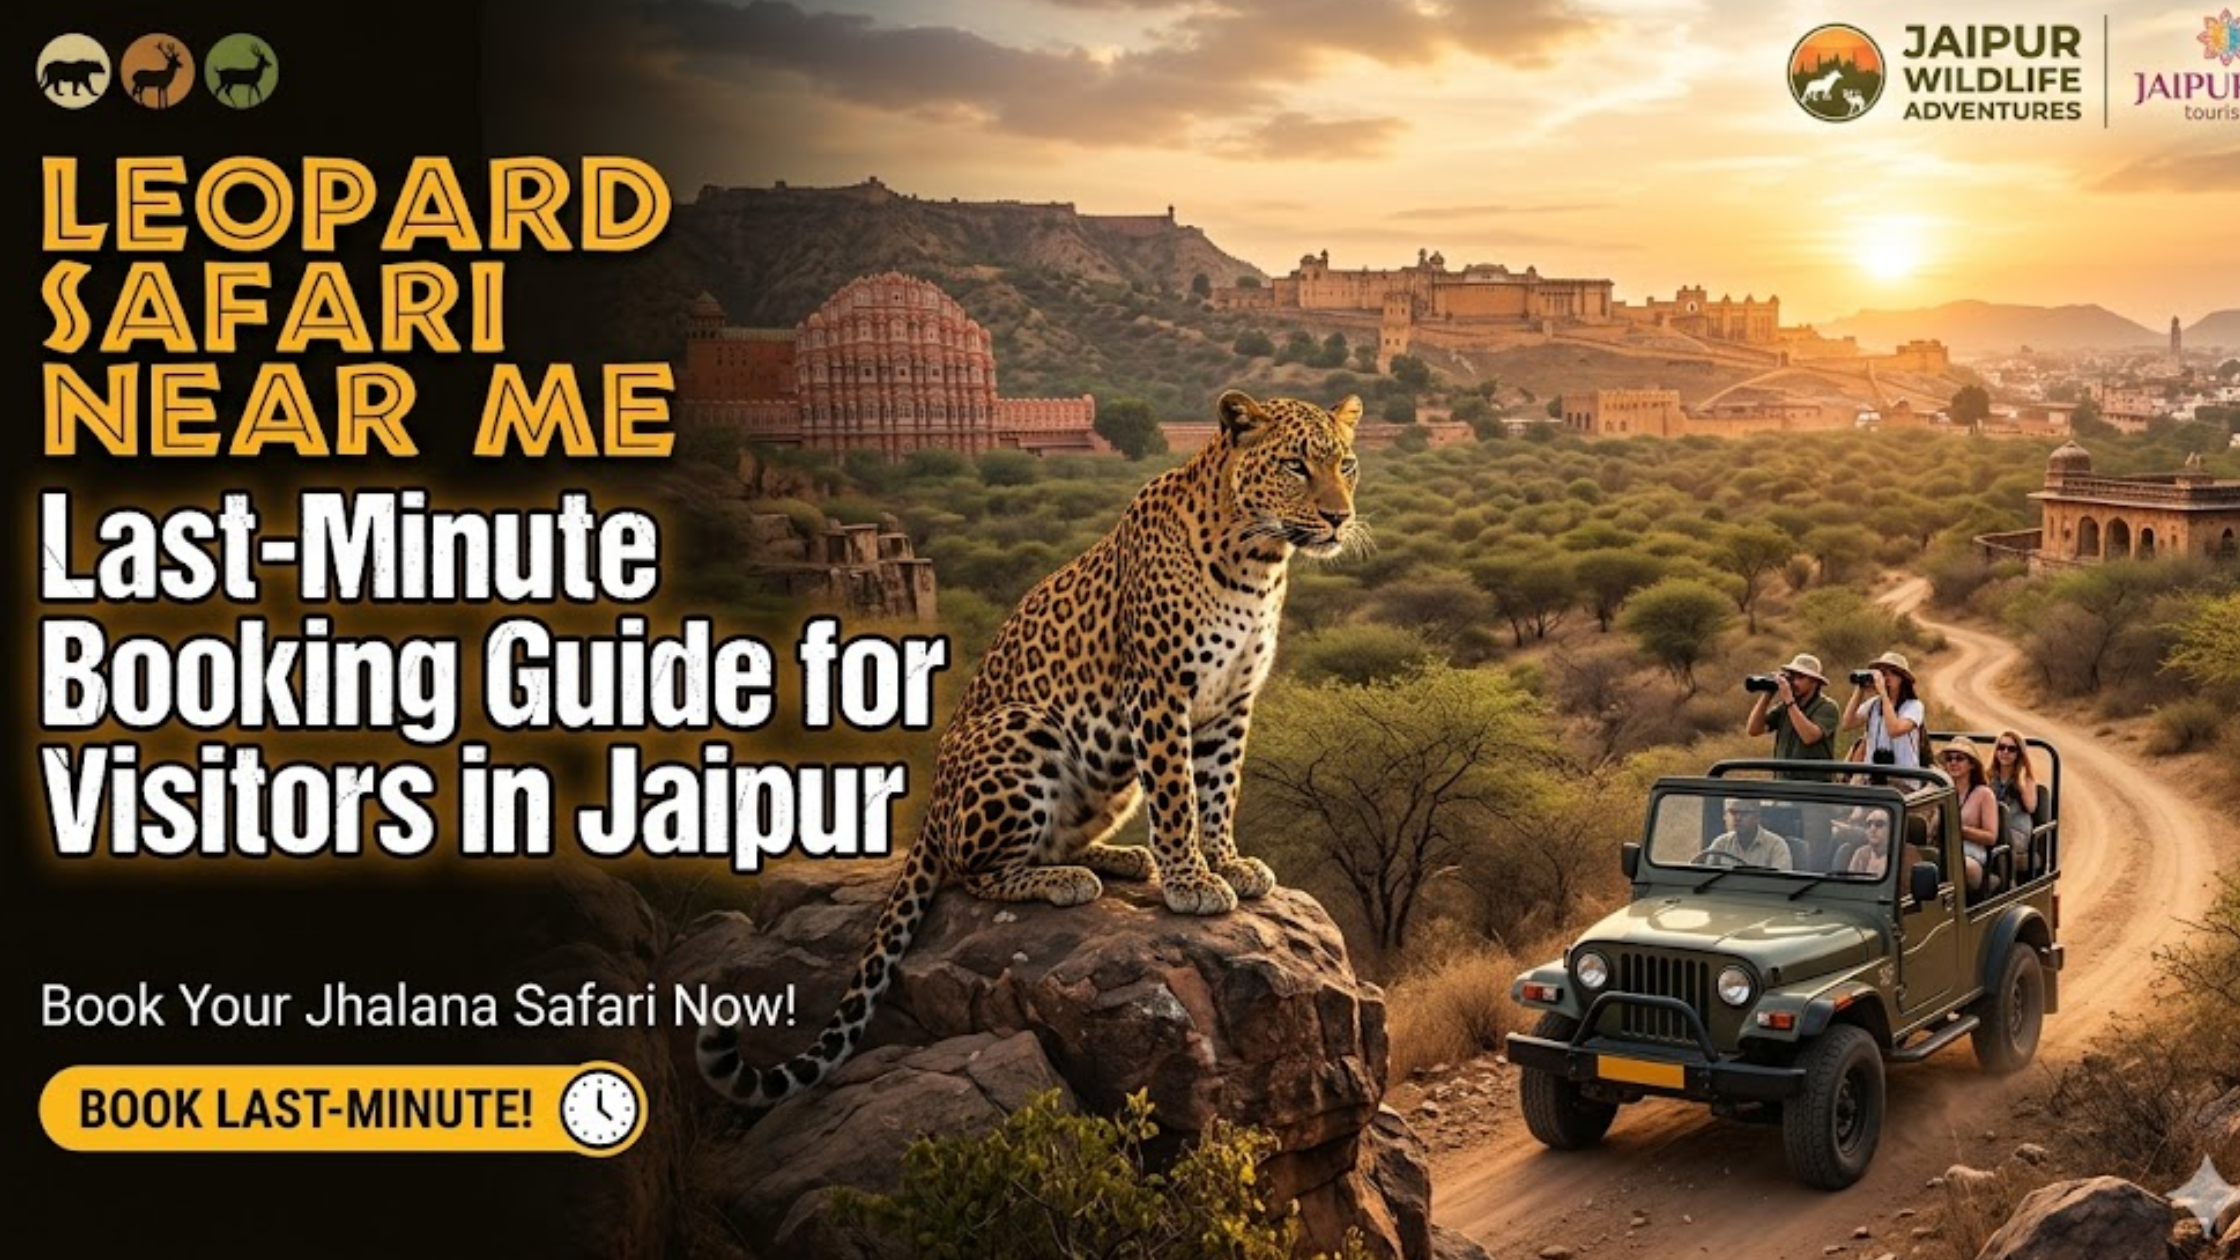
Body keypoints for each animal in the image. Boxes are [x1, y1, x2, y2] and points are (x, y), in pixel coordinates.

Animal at [697, 389, 1363, 1107]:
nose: (1339, 517)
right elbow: (1179, 797)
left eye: (1347, 465)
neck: (1257, 560)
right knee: (975, 872)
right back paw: (1068, 880)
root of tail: (932, 807)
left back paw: (1117, 858)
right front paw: (1191, 883)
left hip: (1106, 777)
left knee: (1052, 839)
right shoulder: (1159, 694)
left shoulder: (1232, 702)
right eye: (1295, 466)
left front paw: (1227, 863)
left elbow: (1219, 792)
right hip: (1023, 729)